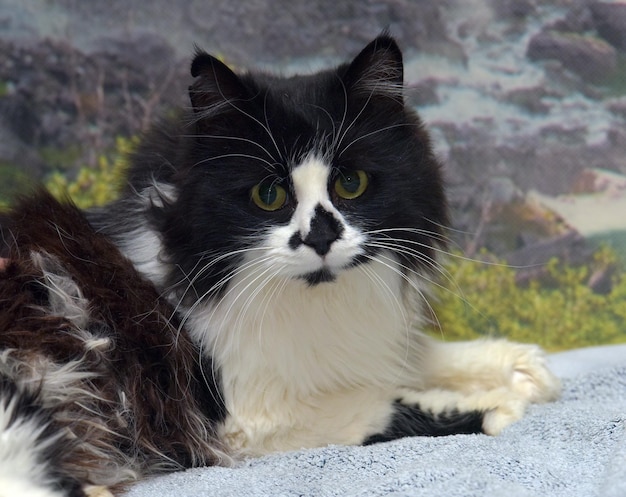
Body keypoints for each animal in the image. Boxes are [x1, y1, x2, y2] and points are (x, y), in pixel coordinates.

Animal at [0, 35, 556, 496]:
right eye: (268, 195)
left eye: (350, 184)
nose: (321, 236)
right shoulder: (245, 420)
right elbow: (395, 405)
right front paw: (499, 403)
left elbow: (419, 357)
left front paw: (521, 369)